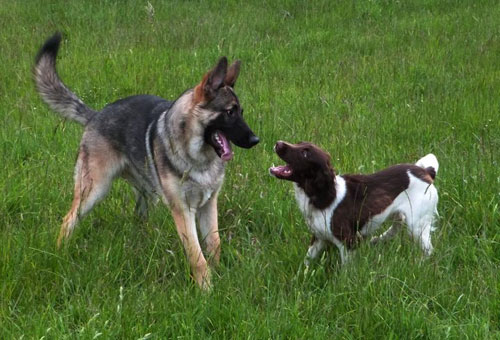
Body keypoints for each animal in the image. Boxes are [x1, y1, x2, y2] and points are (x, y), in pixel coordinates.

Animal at [34, 33, 260, 290]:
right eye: (230, 112)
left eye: (241, 112)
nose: (256, 140)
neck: (197, 158)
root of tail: (96, 115)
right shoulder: (183, 211)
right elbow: (197, 256)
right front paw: (206, 289)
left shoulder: (209, 205)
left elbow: (214, 245)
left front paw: (219, 277)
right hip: (93, 191)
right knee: (69, 219)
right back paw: (59, 252)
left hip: (146, 196)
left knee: (137, 219)